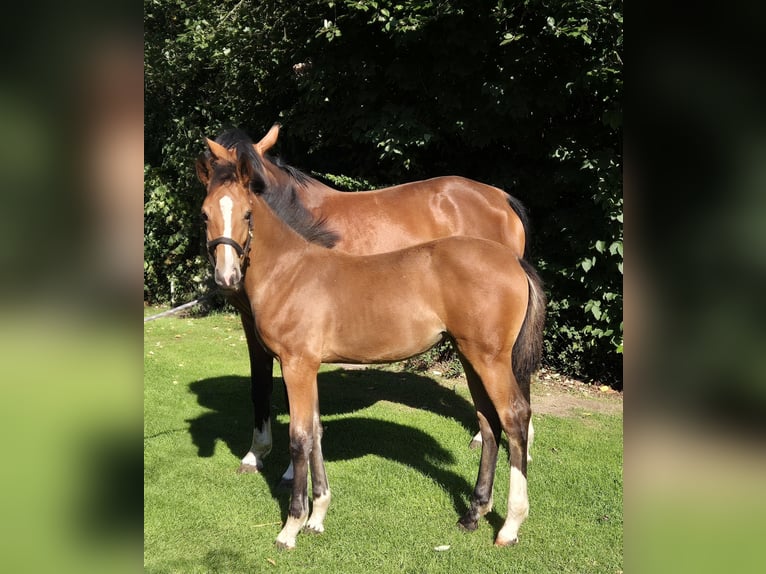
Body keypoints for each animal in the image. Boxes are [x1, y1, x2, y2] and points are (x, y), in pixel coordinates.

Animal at [197, 136, 546, 549]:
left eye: (248, 214)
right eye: (204, 214)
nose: (227, 277)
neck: (291, 270)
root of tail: (512, 261)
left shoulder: (296, 363)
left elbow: (300, 437)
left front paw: (292, 526)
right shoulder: (308, 365)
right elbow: (316, 432)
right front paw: (318, 516)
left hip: (491, 358)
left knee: (514, 418)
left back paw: (510, 525)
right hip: (470, 355)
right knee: (488, 422)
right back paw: (473, 513)